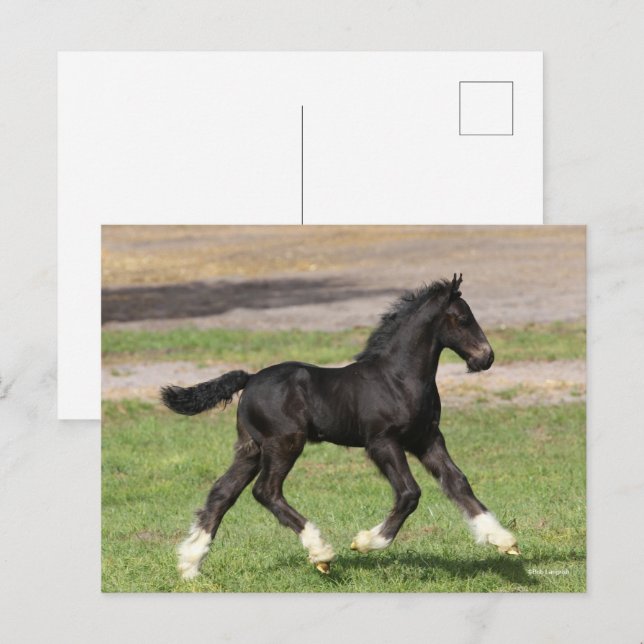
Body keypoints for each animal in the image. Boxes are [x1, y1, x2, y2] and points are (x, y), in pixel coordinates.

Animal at [161, 274, 520, 580]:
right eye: (463, 319)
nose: (485, 357)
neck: (398, 379)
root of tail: (249, 379)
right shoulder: (382, 442)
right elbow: (409, 493)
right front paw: (366, 542)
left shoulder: (427, 439)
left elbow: (458, 483)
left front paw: (503, 540)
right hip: (284, 443)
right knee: (266, 491)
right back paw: (320, 552)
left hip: (251, 447)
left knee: (222, 493)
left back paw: (190, 565)